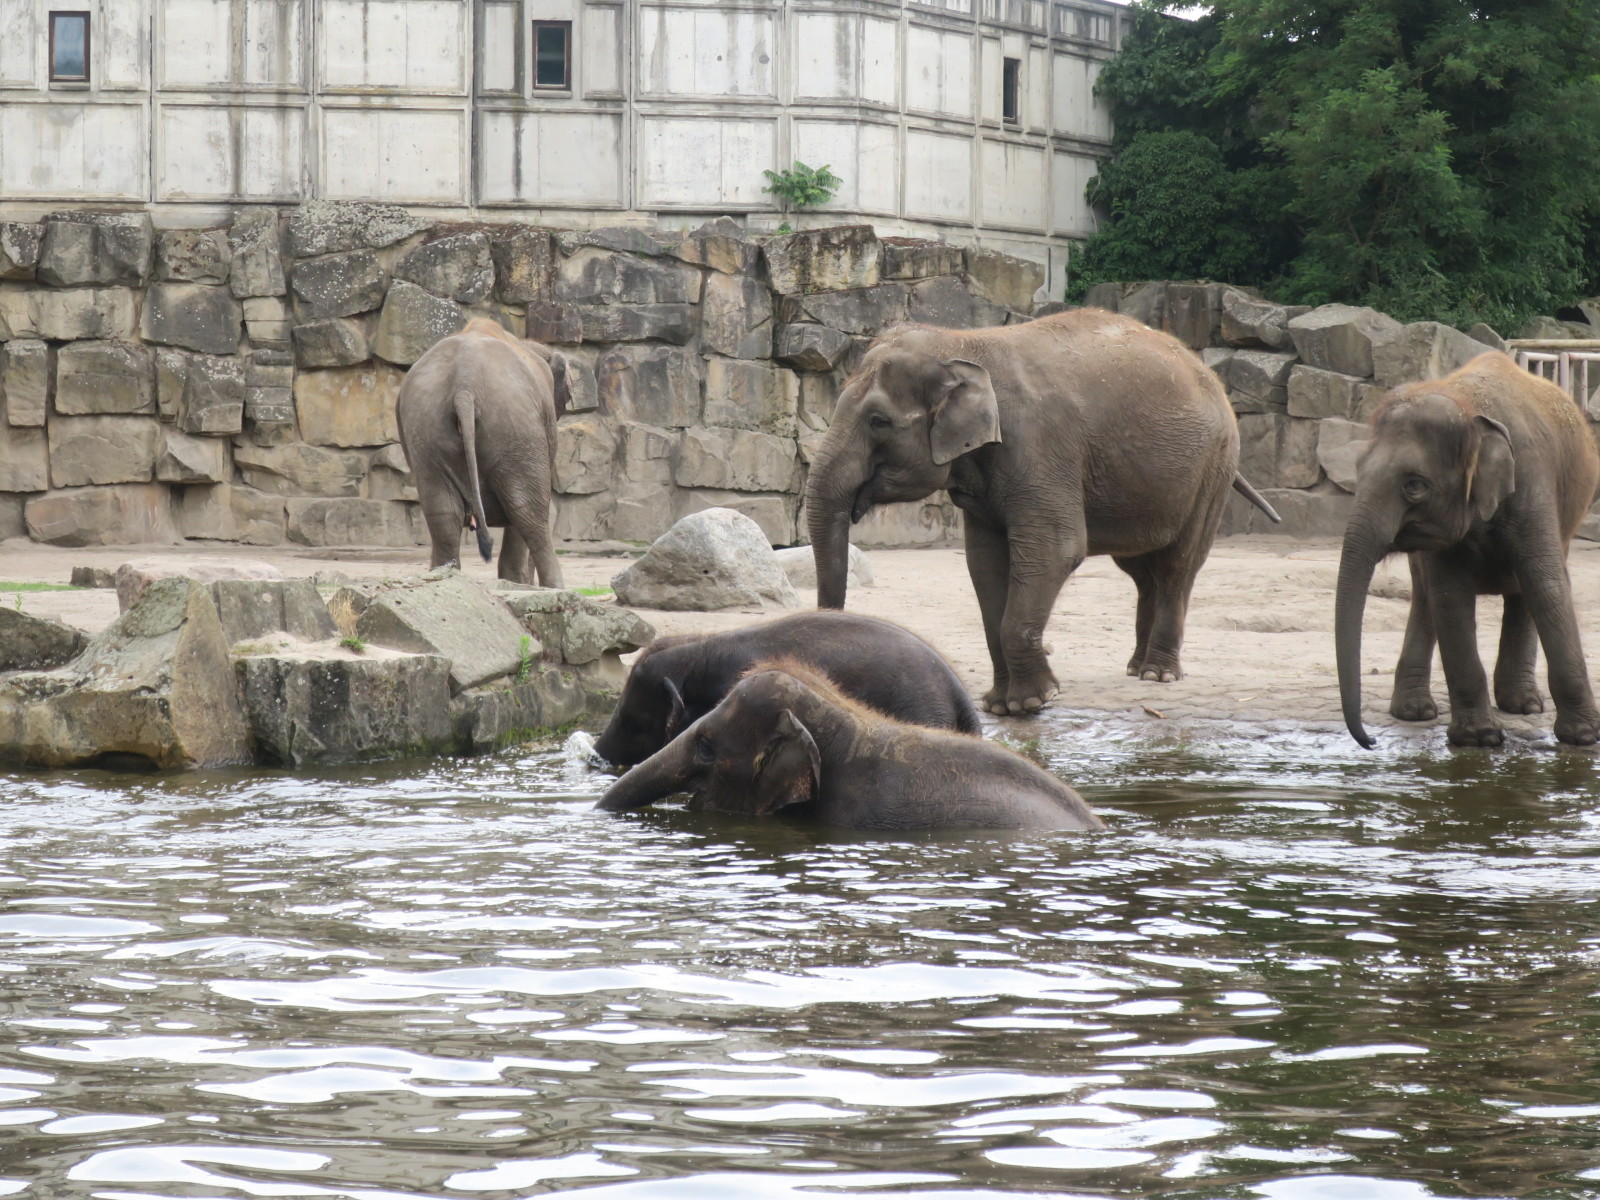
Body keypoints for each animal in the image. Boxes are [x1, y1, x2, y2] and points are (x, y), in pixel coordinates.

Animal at [396, 318, 571, 585]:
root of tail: (464, 386)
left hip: (426, 430)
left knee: (443, 513)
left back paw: (447, 578)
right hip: (515, 427)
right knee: (528, 512)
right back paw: (548, 587)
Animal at [804, 309, 1281, 716]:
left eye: (878, 421)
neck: (962, 343)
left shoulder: (1039, 447)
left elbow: (1055, 551)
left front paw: (1033, 702)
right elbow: (984, 563)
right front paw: (1000, 706)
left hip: (1213, 468)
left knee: (1178, 566)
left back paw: (1157, 674)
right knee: (1141, 570)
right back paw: (1135, 667)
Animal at [1336, 352, 1600, 748]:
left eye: (1415, 485)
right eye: (1358, 470)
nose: (1369, 742)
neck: (1468, 407)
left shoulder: (1532, 479)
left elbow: (1547, 585)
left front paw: (1583, 737)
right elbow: (1449, 596)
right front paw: (1479, 739)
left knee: (1525, 589)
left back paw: (1524, 705)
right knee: (1426, 596)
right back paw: (1415, 712)